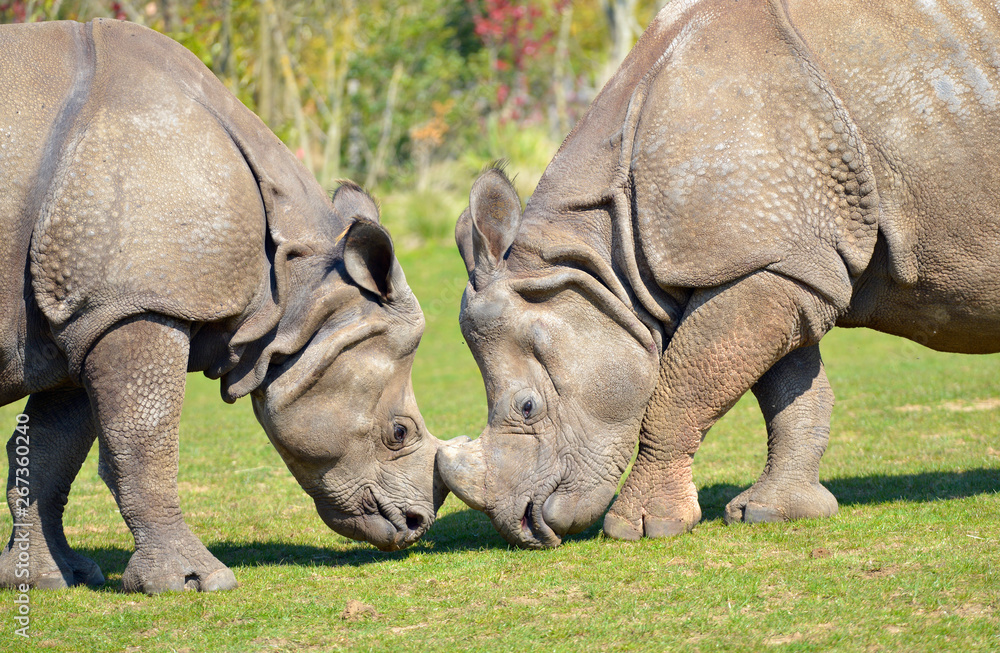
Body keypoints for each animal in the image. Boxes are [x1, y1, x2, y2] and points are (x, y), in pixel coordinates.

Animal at [0, 19, 443, 593]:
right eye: (399, 433)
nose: (416, 524)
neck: (294, 288)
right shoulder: (138, 304)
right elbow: (142, 444)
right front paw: (192, 583)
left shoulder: (87, 314)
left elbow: (49, 450)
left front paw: (49, 580)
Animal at [438, 0, 1000, 548]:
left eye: (528, 407)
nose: (525, 528)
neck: (595, 258)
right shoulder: (777, 260)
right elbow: (790, 392)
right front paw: (773, 513)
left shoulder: (770, 260)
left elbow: (679, 390)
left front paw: (641, 528)